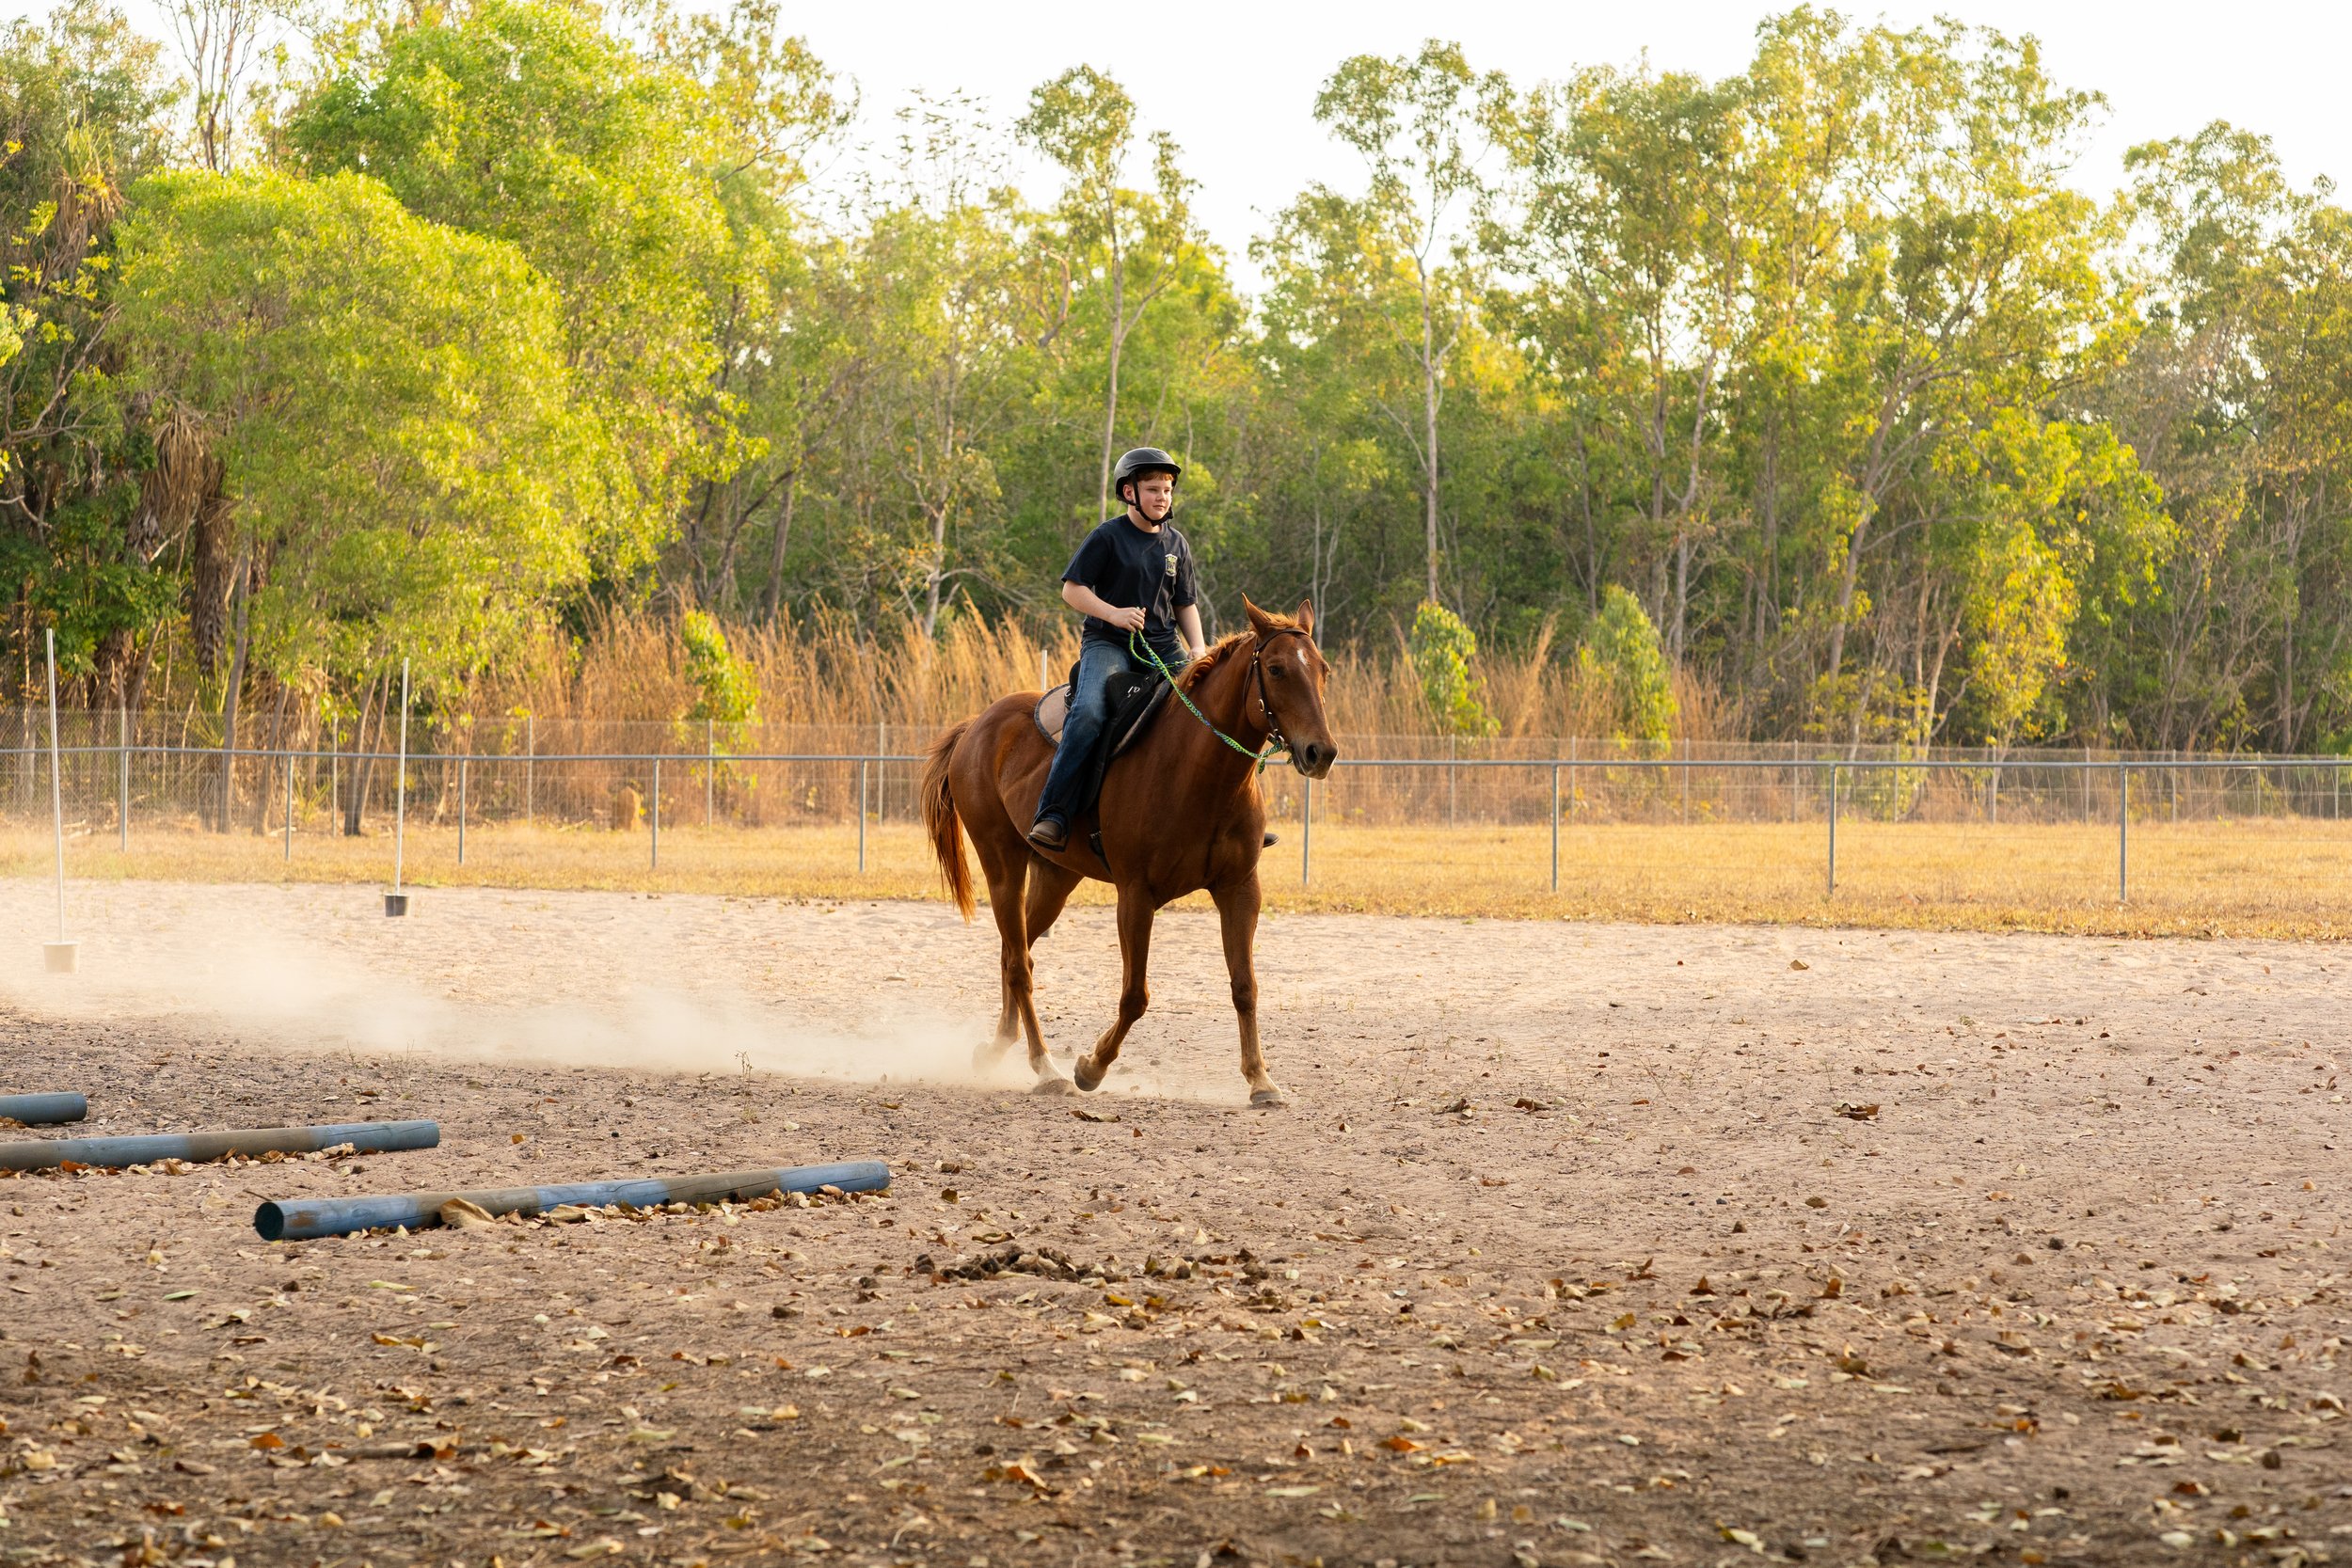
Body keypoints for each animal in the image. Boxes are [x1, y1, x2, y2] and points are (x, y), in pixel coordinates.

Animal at [919, 597, 1338, 1107]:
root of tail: (975, 726)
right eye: (1276, 669)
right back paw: (1047, 1068)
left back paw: (998, 1048)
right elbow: (1135, 996)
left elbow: (1245, 986)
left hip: (1055, 877)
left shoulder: (1240, 889)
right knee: (1018, 965)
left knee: (1014, 953)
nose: (1321, 752)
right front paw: (1091, 1067)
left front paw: (1261, 1080)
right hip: (1002, 865)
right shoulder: (1136, 895)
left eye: (1322, 669)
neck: (1197, 771)